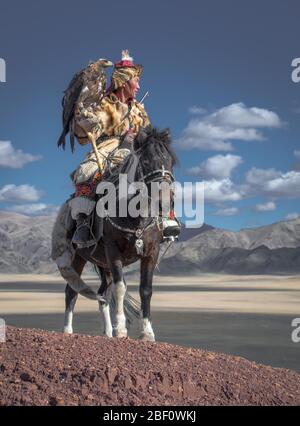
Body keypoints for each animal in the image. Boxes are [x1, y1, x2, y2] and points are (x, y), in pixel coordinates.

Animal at [51, 126, 178, 342]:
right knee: (72, 290)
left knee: (103, 293)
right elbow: (120, 288)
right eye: (146, 161)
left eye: (171, 162)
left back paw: (107, 332)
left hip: (103, 264)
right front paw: (121, 330)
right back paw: (68, 330)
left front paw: (147, 332)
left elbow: (145, 290)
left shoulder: (151, 252)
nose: (164, 202)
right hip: (78, 257)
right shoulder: (113, 251)